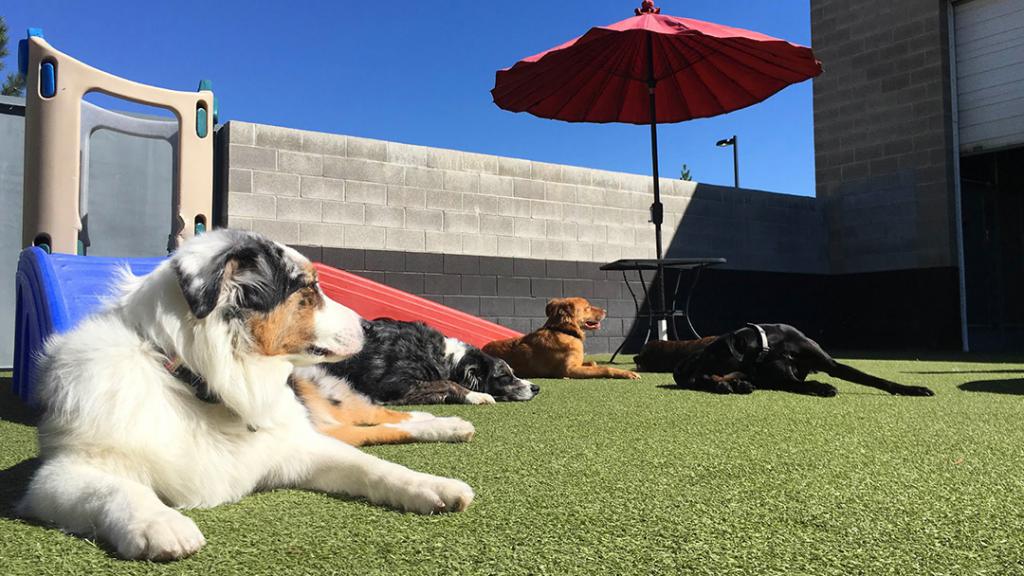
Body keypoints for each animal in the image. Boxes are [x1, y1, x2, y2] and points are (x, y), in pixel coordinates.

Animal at [19, 229, 475, 561]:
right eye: (309, 291)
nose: (369, 327)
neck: (205, 385)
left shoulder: (298, 448)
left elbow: (375, 468)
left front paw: (434, 486)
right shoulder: (57, 477)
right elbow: (117, 488)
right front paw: (158, 524)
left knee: (388, 420)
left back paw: (454, 423)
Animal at [307, 317, 540, 403]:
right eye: (504, 376)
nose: (536, 388)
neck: (444, 358)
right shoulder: (394, 383)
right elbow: (447, 382)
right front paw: (476, 395)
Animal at [481, 297, 638, 379]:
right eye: (587, 307)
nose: (605, 310)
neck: (565, 331)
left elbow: (593, 363)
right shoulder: (569, 370)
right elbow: (604, 368)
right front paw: (626, 373)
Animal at [675, 319, 933, 397]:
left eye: (712, 354)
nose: (692, 374)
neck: (771, 345)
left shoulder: (831, 364)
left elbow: (872, 378)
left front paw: (913, 389)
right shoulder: (782, 380)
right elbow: (802, 383)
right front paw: (823, 387)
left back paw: (740, 385)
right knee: (716, 381)